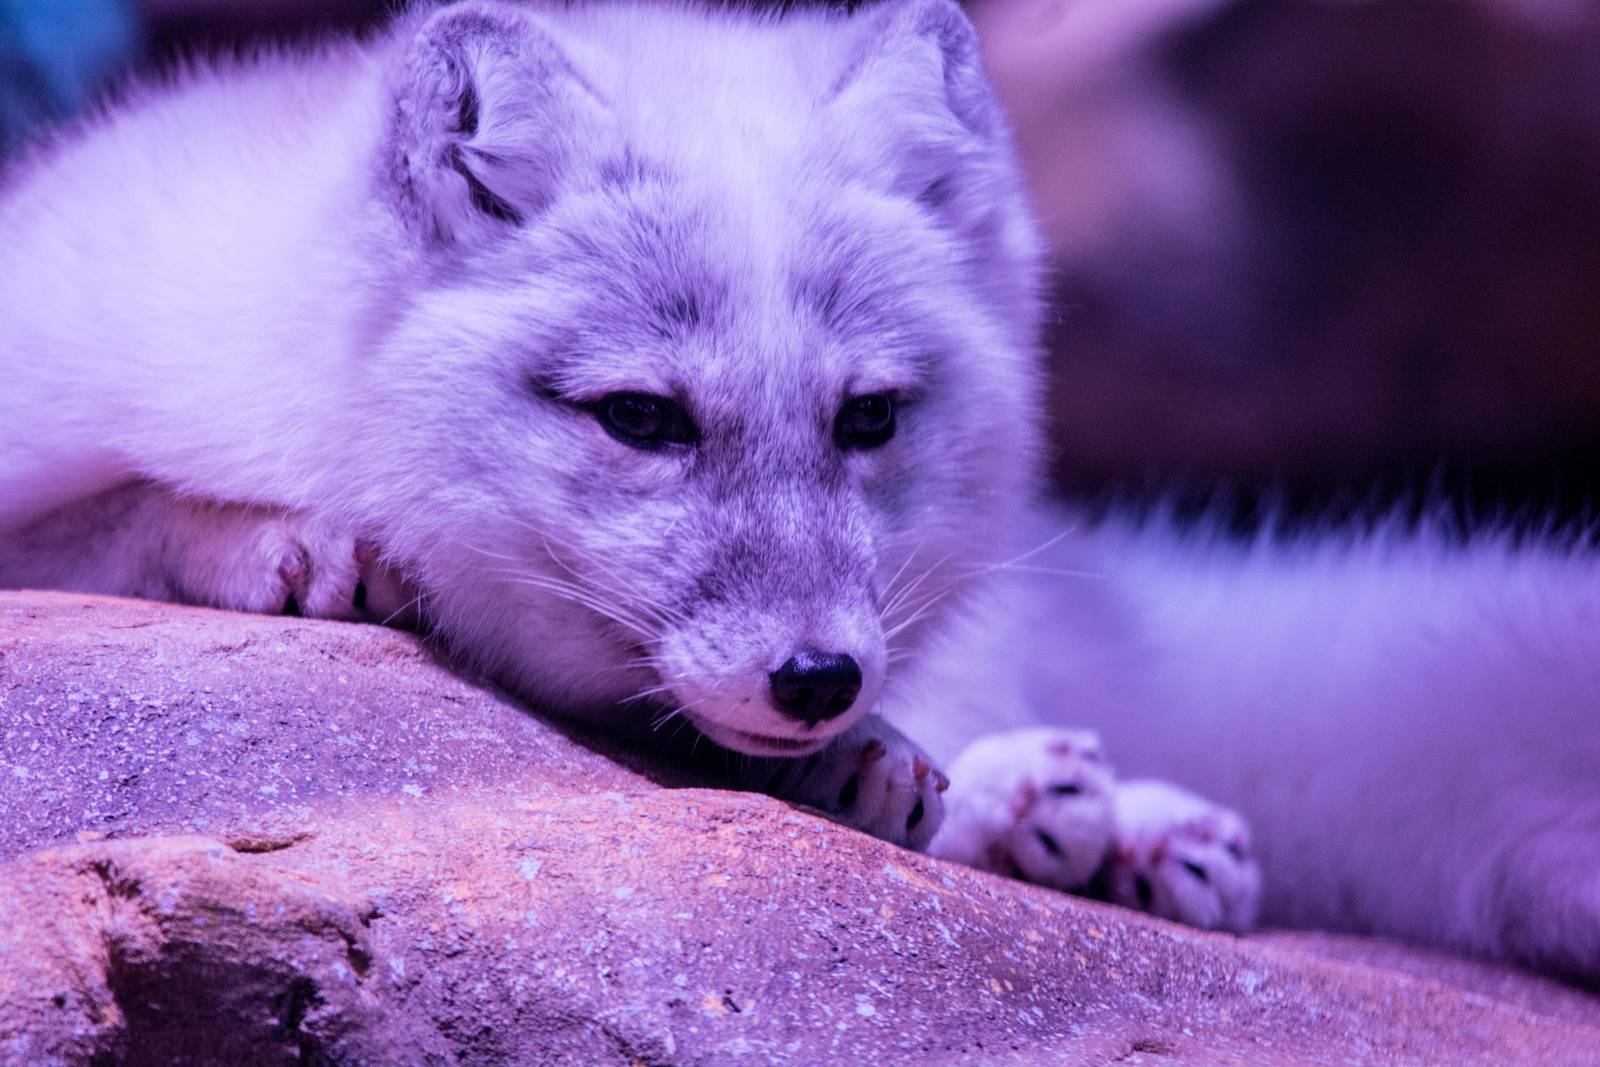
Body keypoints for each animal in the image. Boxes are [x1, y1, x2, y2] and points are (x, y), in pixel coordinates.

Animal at [0, 0, 1595, 981]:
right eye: (642, 418)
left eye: (867, 415)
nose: (823, 680)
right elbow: (107, 515)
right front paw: (275, 537)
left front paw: (884, 760)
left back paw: (1083, 817)